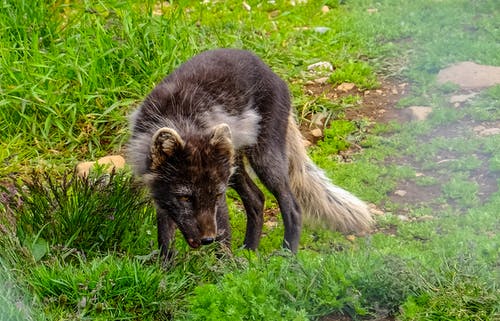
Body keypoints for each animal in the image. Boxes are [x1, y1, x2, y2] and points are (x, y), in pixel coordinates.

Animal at [127, 48, 374, 260]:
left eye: (216, 195)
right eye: (186, 198)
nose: (207, 240)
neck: (183, 119)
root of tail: (272, 72)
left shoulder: (220, 198)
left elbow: (224, 236)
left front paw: (224, 272)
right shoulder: (162, 195)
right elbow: (165, 239)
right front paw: (165, 272)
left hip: (263, 158)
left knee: (292, 207)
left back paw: (286, 257)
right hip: (234, 166)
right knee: (257, 199)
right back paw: (249, 252)